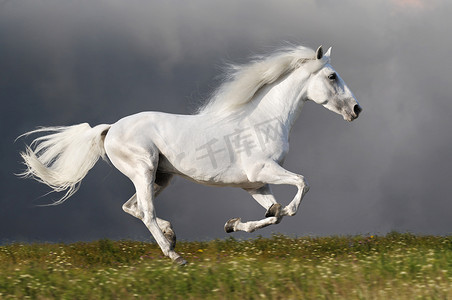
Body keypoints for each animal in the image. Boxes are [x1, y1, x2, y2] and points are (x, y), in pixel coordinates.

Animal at [19, 45, 362, 264]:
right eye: (332, 76)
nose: (357, 109)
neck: (263, 120)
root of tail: (110, 128)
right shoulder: (262, 171)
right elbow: (302, 185)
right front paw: (284, 209)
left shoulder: (254, 184)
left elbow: (272, 215)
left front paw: (233, 225)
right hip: (144, 170)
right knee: (145, 211)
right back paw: (175, 255)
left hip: (161, 177)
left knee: (132, 207)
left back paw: (171, 235)